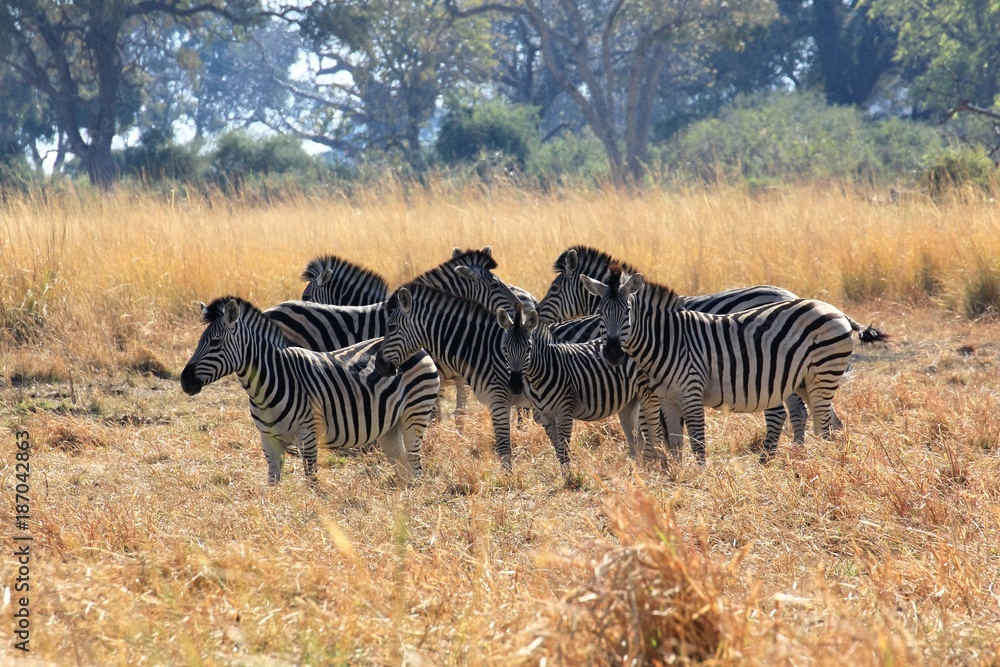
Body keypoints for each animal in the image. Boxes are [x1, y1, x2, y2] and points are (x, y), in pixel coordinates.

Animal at [180, 297, 440, 484]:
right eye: (200, 341)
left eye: (215, 343)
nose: (184, 381)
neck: (269, 382)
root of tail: (418, 349)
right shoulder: (268, 439)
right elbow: (273, 483)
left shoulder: (308, 433)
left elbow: (312, 480)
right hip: (390, 426)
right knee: (403, 463)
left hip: (415, 414)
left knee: (415, 463)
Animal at [496, 304, 665, 470]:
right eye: (504, 349)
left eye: (529, 349)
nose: (515, 385)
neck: (541, 372)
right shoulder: (545, 415)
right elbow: (558, 451)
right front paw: (564, 475)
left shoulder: (564, 412)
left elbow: (564, 451)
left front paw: (569, 477)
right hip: (628, 401)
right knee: (636, 440)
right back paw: (634, 472)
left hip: (648, 394)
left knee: (655, 434)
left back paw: (657, 468)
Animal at [535, 245, 810, 452]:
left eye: (554, 288)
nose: (536, 314)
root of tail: (789, 294)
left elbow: (652, 426)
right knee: (798, 410)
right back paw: (798, 451)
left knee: (780, 412)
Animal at [581, 266, 888, 463]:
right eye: (600, 312)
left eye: (627, 312)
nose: (612, 354)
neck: (666, 340)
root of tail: (834, 310)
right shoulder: (667, 397)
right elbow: (677, 442)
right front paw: (677, 479)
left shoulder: (691, 391)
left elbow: (697, 439)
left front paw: (700, 478)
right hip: (805, 381)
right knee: (826, 422)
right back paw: (820, 460)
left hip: (823, 374)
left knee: (822, 425)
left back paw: (821, 465)